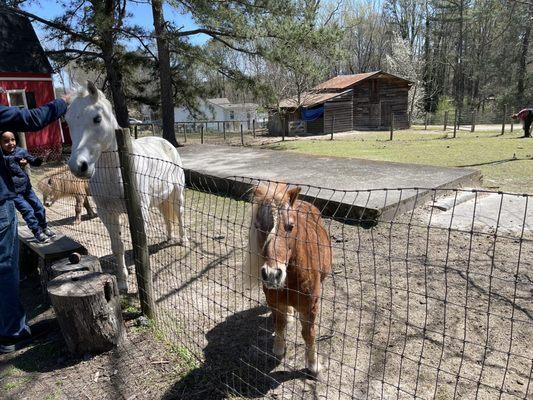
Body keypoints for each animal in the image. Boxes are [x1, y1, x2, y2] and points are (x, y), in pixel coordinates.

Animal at [66, 81, 187, 292]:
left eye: (97, 118)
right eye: (68, 122)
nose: (78, 166)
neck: (116, 172)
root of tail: (165, 142)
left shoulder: (139, 212)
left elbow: (140, 245)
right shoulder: (107, 213)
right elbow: (117, 246)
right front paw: (123, 282)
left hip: (177, 194)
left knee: (179, 213)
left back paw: (182, 240)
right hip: (160, 200)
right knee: (167, 216)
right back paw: (169, 238)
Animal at [244, 183, 328, 376]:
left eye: (290, 226)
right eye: (258, 226)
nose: (272, 274)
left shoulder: (310, 307)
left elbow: (309, 333)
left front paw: (313, 365)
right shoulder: (274, 302)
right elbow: (280, 324)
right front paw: (278, 349)